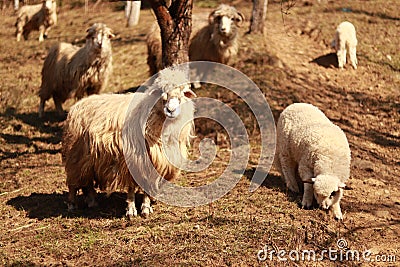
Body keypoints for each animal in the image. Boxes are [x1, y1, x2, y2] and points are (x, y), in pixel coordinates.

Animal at [61, 67, 197, 220]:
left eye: (182, 93)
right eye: (161, 92)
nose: (171, 110)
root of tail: (76, 105)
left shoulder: (153, 164)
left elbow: (147, 188)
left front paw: (146, 208)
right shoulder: (133, 161)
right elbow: (131, 188)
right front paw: (131, 210)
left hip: (89, 158)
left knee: (87, 181)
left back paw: (92, 202)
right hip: (75, 155)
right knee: (73, 183)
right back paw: (72, 204)